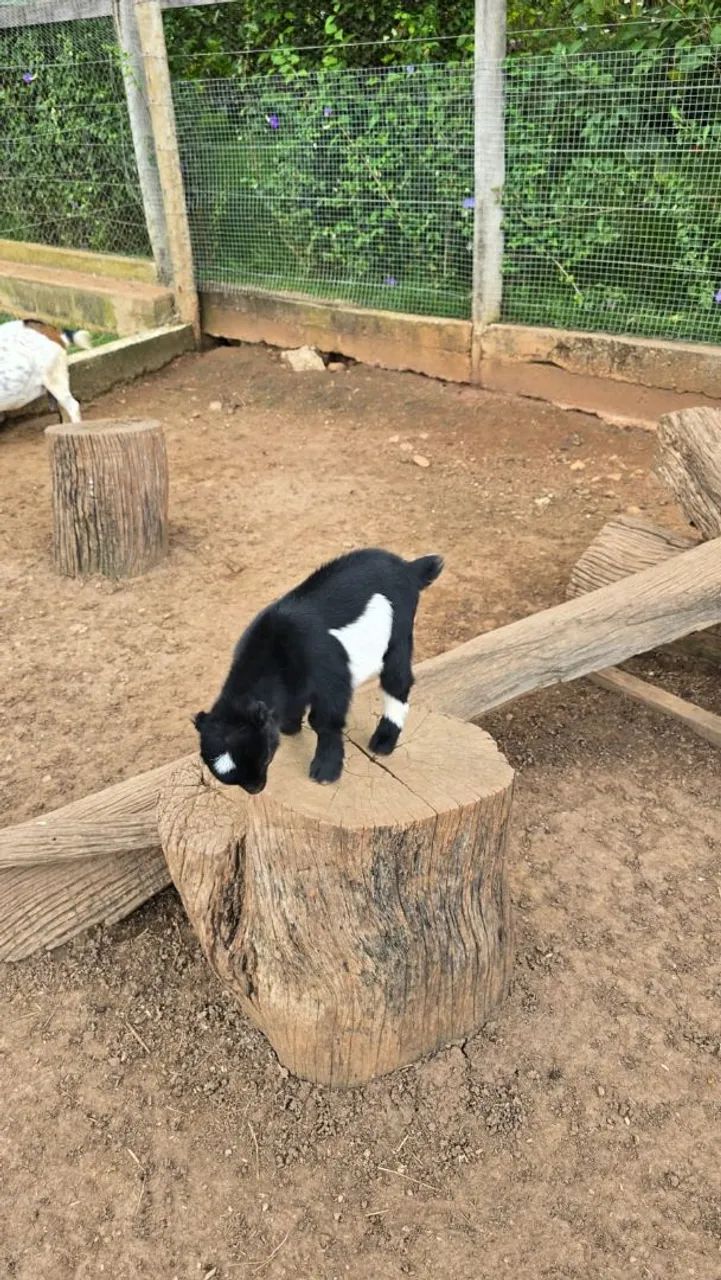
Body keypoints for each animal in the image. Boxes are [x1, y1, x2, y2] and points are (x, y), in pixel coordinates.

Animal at [194, 548, 444, 793]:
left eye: (264, 758)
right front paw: (289, 726)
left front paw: (326, 771)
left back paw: (383, 741)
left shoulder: (332, 679)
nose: (255, 788)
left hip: (398, 635)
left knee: (397, 681)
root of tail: (408, 568)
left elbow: (325, 721)